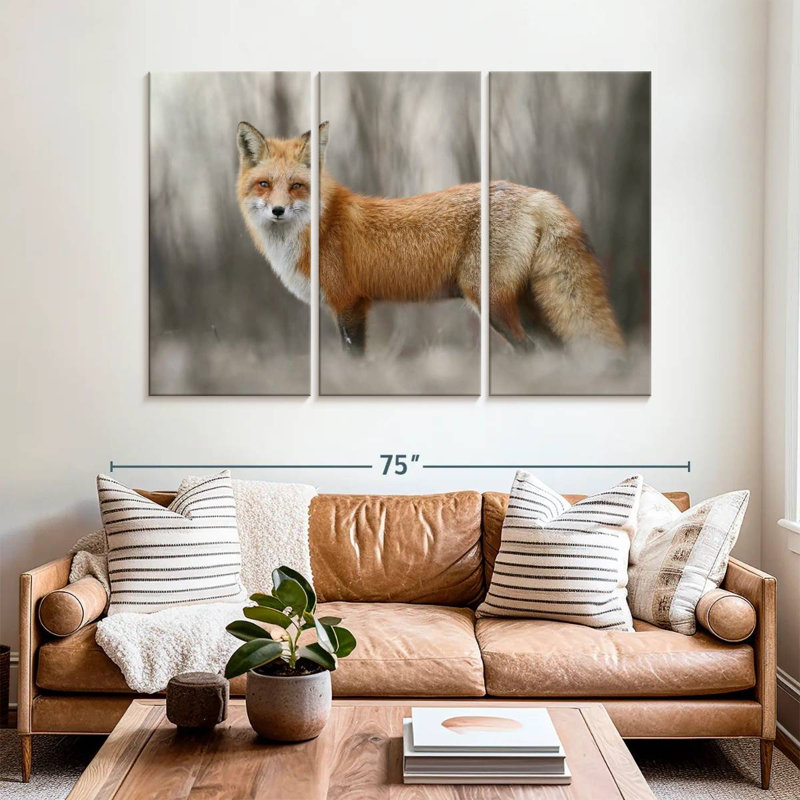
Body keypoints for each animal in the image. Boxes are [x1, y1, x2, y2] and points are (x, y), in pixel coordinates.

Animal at [236, 120, 624, 355]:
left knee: (528, 349)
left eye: (297, 186)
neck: (319, 227)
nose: (278, 211)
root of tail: (538, 194)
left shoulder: (349, 303)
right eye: (264, 184)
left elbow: (355, 358)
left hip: (490, 301)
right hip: (528, 306)